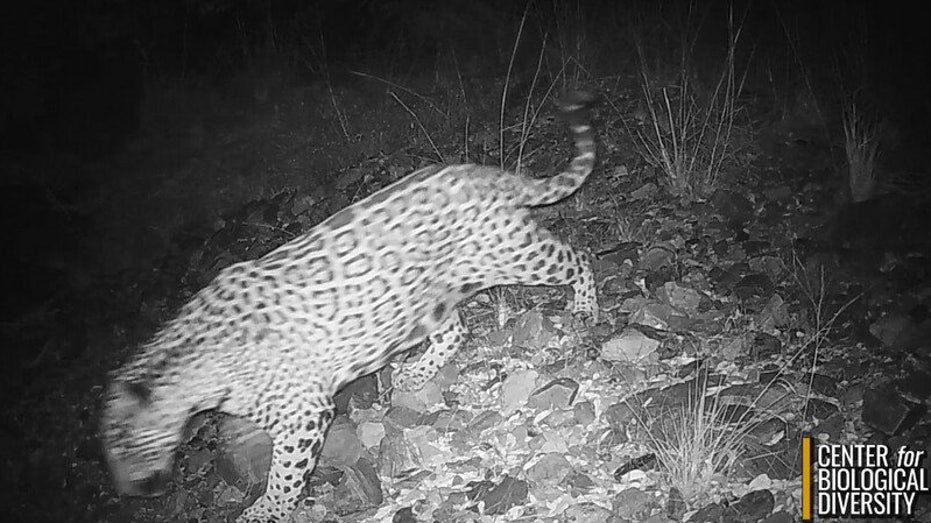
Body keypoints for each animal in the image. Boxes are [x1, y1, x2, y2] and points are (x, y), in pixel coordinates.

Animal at [101, 92, 599, 522]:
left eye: (125, 446)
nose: (126, 492)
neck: (192, 377)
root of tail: (484, 172)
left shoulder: (304, 413)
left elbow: (284, 474)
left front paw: (266, 511)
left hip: (512, 253)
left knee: (577, 258)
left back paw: (586, 310)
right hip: (426, 298)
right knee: (455, 331)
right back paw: (414, 374)